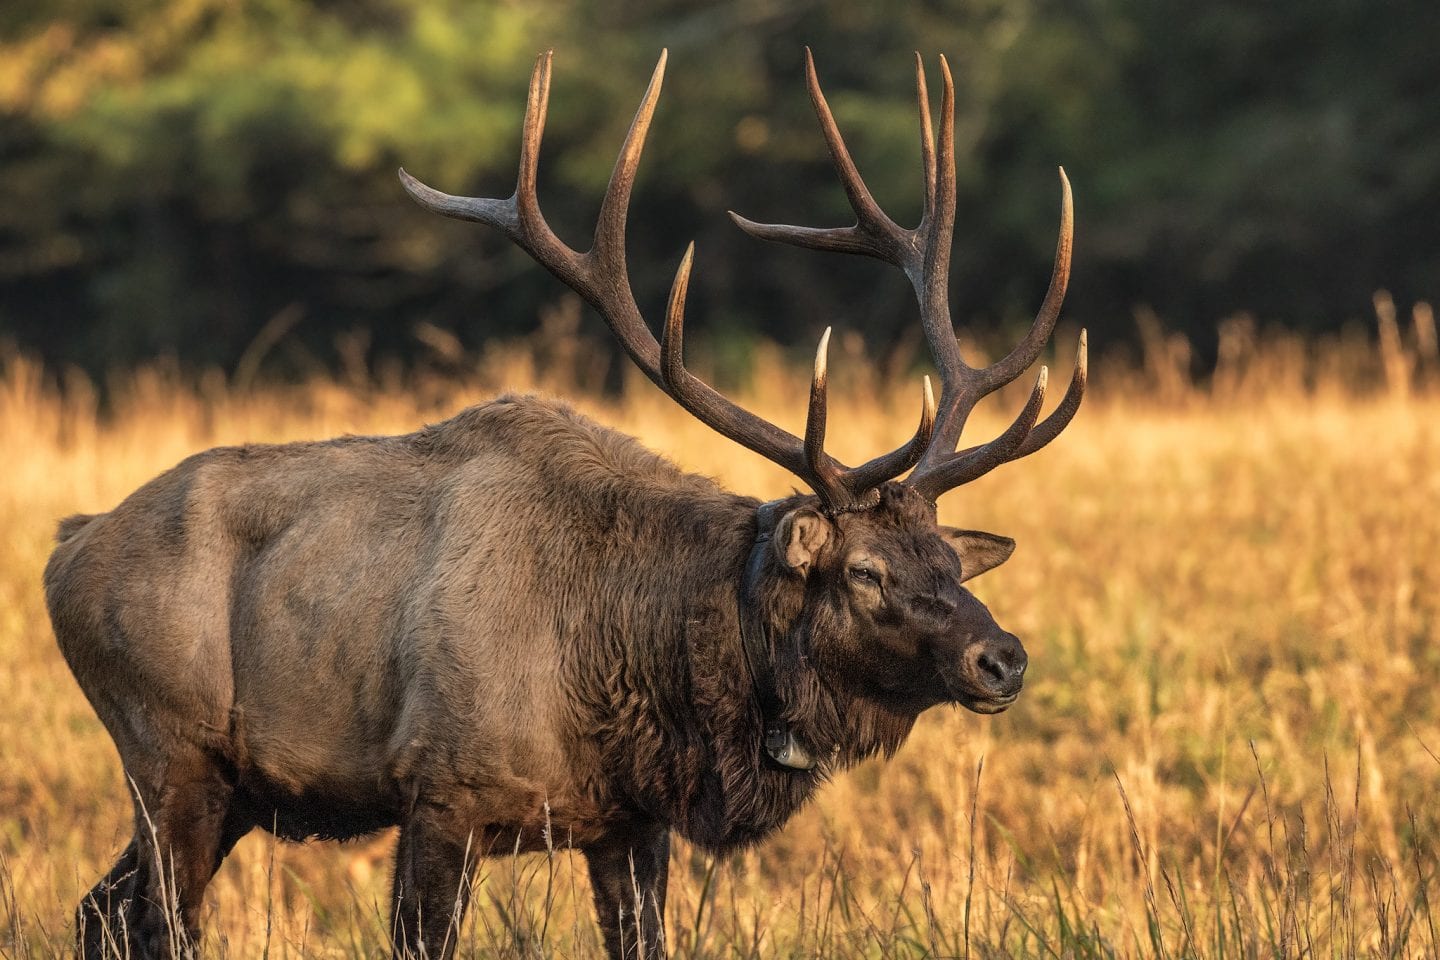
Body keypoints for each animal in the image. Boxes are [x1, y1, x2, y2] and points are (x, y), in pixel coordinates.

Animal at [44, 48, 1084, 960]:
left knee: (98, 912)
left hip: (224, 790)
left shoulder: (630, 823)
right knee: (160, 923)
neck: (637, 672)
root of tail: (67, 547)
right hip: (166, 749)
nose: (1003, 657)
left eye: (947, 560)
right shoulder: (441, 788)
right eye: (864, 570)